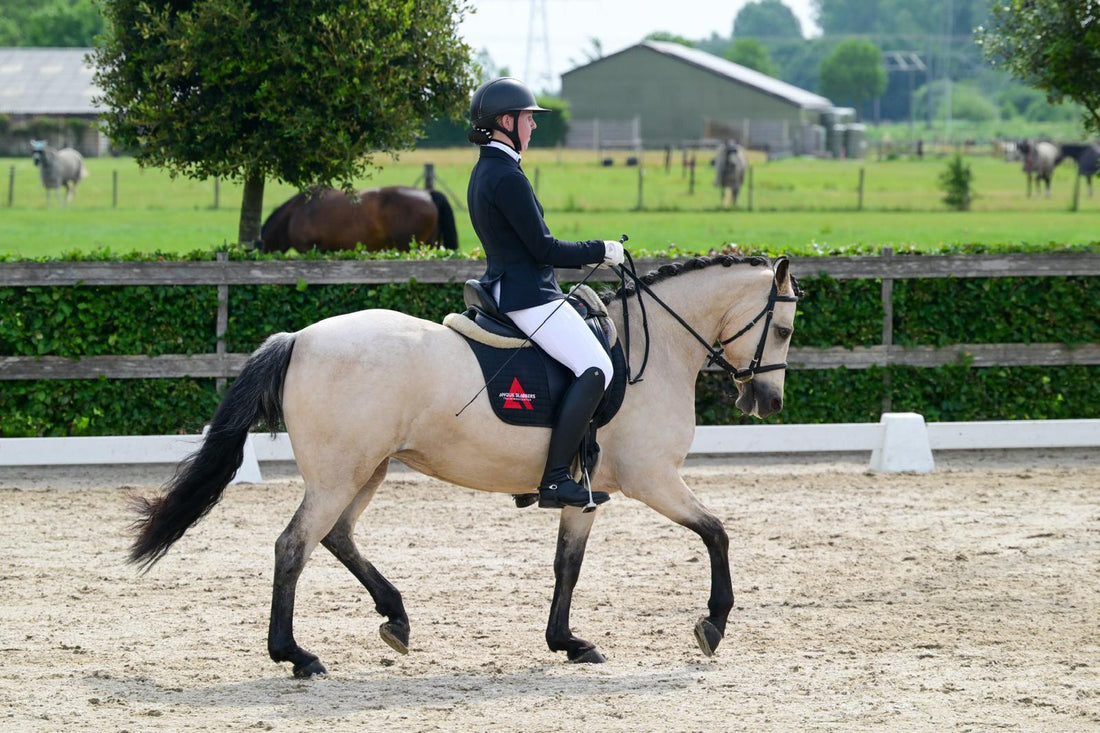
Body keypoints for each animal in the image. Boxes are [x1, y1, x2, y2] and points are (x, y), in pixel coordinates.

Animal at [127, 254, 801, 678]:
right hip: (341, 474)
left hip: (367, 469)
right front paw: (713, 623)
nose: (766, 403)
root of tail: (300, 339)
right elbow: (716, 532)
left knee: (337, 536)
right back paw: (296, 655)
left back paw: (395, 618)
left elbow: (567, 567)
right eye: (786, 328)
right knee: (294, 545)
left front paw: (568, 643)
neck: (650, 350)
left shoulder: (587, 492)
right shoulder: (652, 479)